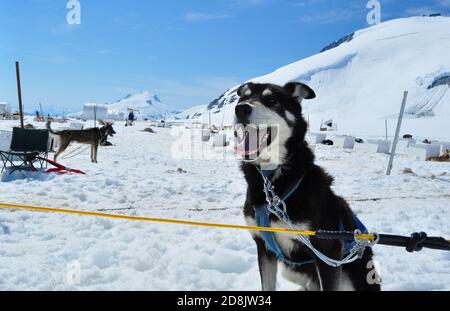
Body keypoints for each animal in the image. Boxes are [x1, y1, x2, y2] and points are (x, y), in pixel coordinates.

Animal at [236, 83, 380, 292]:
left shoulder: (328, 252)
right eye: (242, 98)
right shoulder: (263, 247)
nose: (240, 109)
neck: (272, 182)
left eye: (271, 100)